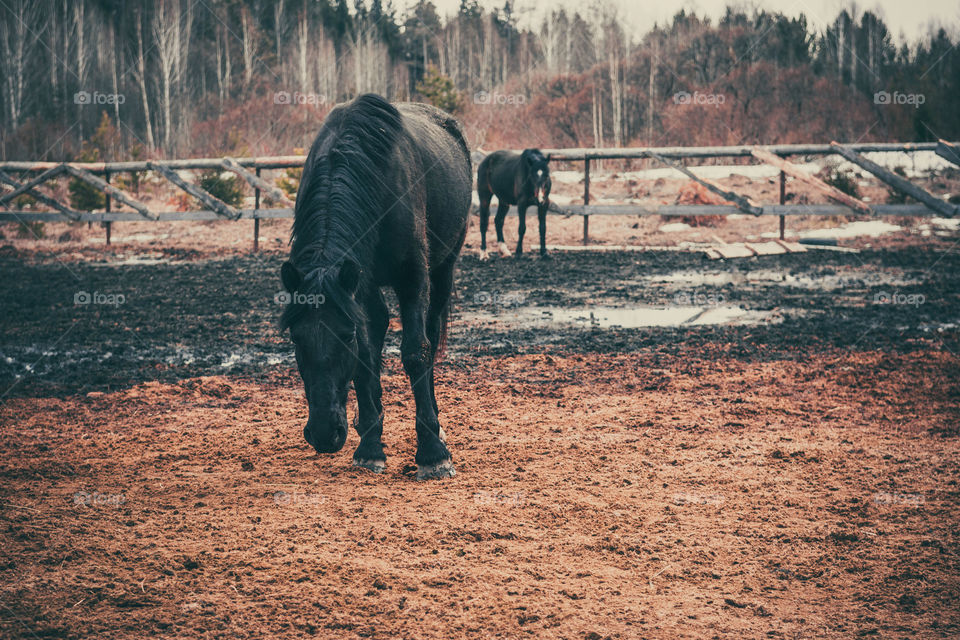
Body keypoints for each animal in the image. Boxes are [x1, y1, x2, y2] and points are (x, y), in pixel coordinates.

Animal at [278, 92, 472, 478]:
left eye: (345, 335)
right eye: (295, 338)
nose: (324, 433)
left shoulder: (413, 277)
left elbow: (416, 352)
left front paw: (433, 454)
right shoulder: (359, 282)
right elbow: (367, 357)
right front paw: (370, 448)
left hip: (443, 270)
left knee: (430, 335)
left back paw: (435, 425)